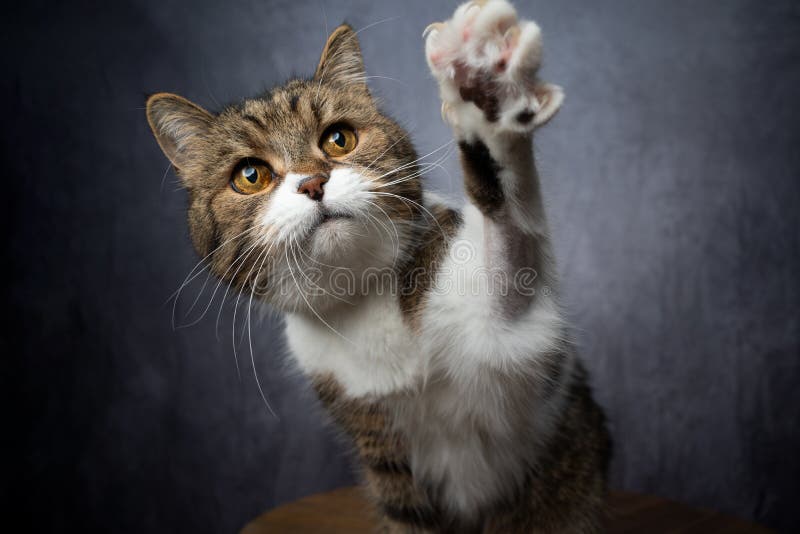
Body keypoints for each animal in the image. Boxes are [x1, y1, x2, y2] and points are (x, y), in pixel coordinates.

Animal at [145, 2, 608, 532]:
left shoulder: (514, 332)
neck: (362, 299)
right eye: (250, 175)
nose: (313, 182)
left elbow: (510, 239)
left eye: (338, 138)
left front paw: (487, 92)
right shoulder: (379, 444)